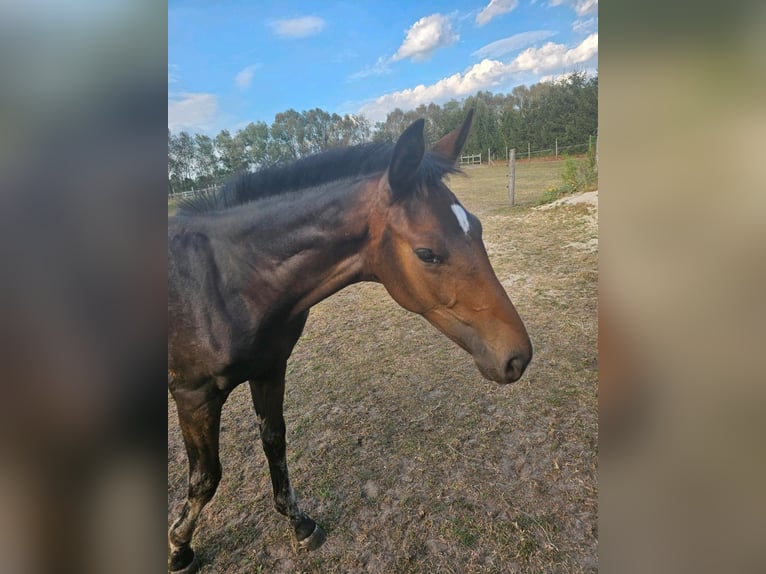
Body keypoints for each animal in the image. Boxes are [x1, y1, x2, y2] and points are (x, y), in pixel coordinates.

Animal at [166, 110, 536, 572]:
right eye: (427, 253)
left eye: (479, 228)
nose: (518, 357)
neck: (226, 278)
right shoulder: (193, 395)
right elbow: (206, 477)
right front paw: (179, 548)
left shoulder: (269, 368)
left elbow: (274, 442)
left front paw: (300, 524)